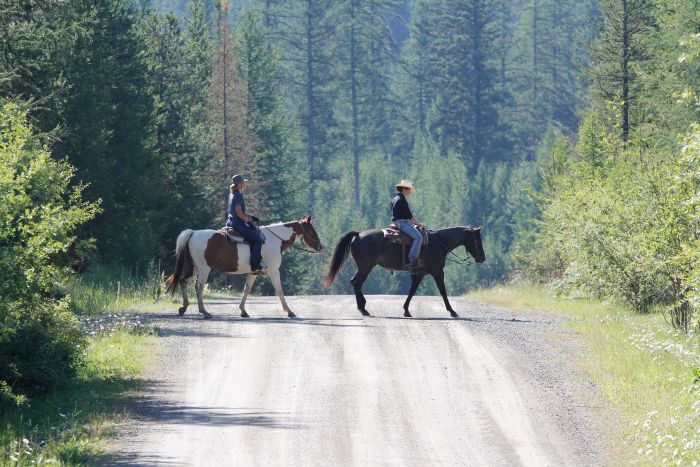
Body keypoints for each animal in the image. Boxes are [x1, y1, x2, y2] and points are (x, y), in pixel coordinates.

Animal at [165, 218, 324, 320]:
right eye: (312, 232)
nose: (321, 247)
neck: (274, 240)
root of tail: (193, 233)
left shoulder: (253, 273)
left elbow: (246, 289)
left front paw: (243, 311)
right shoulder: (273, 271)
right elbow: (279, 291)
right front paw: (289, 311)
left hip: (195, 268)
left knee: (183, 281)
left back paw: (184, 308)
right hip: (204, 269)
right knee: (199, 287)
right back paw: (204, 312)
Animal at [326, 227, 484, 318]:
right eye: (478, 240)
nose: (482, 258)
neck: (439, 242)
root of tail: (358, 235)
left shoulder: (419, 274)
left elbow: (412, 292)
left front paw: (406, 311)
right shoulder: (438, 272)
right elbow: (443, 292)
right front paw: (452, 311)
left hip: (364, 267)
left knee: (355, 282)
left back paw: (363, 308)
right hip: (366, 267)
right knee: (357, 283)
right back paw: (363, 309)